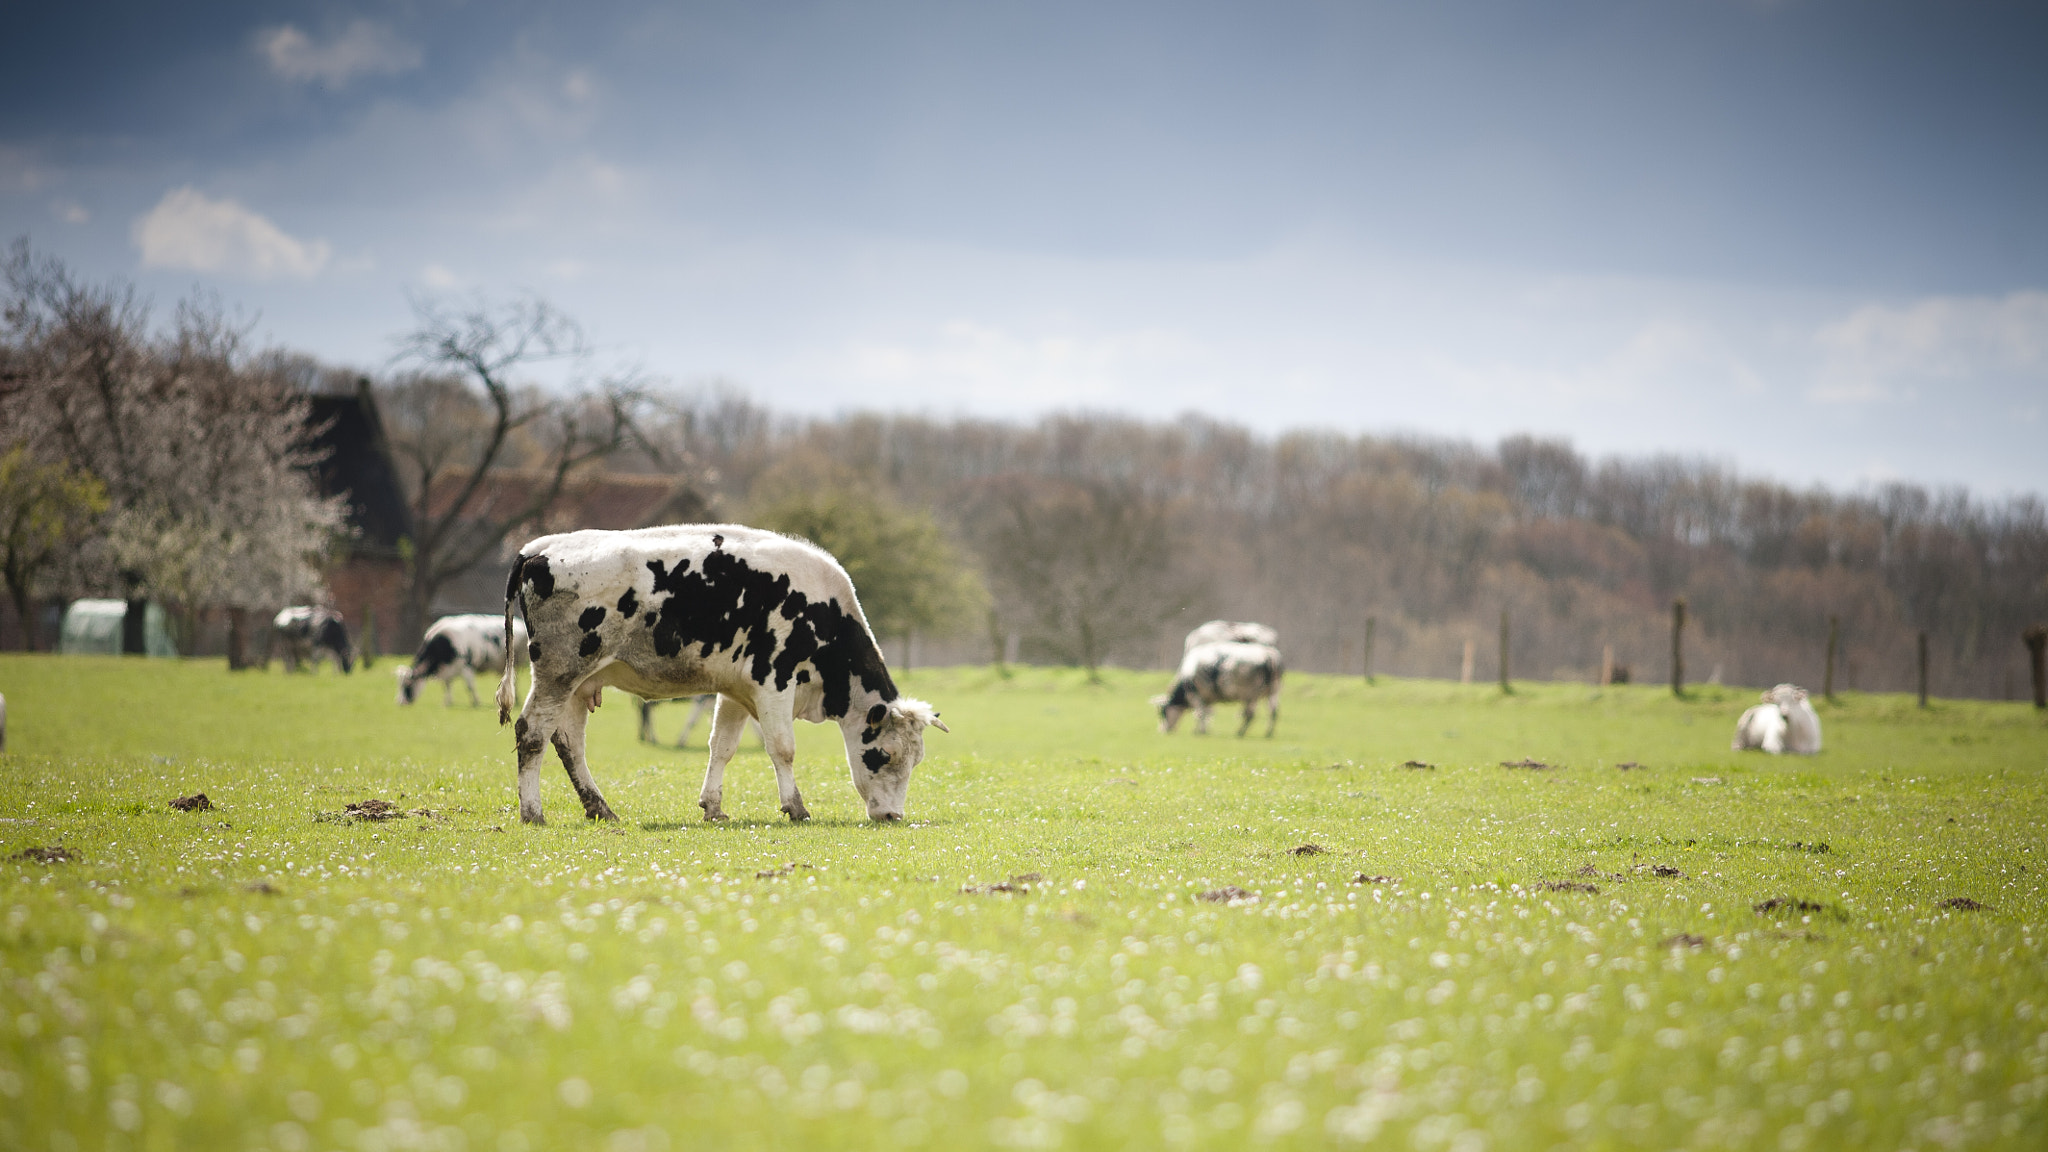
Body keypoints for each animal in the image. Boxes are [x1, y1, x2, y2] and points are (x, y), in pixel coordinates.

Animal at [395, 614, 532, 705]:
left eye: (407, 685)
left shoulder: (467, 666)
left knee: (515, 682)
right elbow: (447, 685)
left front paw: (476, 702)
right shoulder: (448, 670)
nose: (400, 702)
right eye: (399, 684)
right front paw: (448, 702)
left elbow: (470, 686)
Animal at [495, 524, 950, 819]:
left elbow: (722, 747)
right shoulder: (774, 681)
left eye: (917, 760)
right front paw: (796, 807)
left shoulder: (736, 689)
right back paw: (533, 812)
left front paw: (713, 807)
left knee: (569, 743)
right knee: (532, 733)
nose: (892, 816)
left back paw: (600, 808)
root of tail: (540, 546)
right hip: (558, 671)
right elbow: (782, 747)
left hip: (579, 681)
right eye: (886, 754)